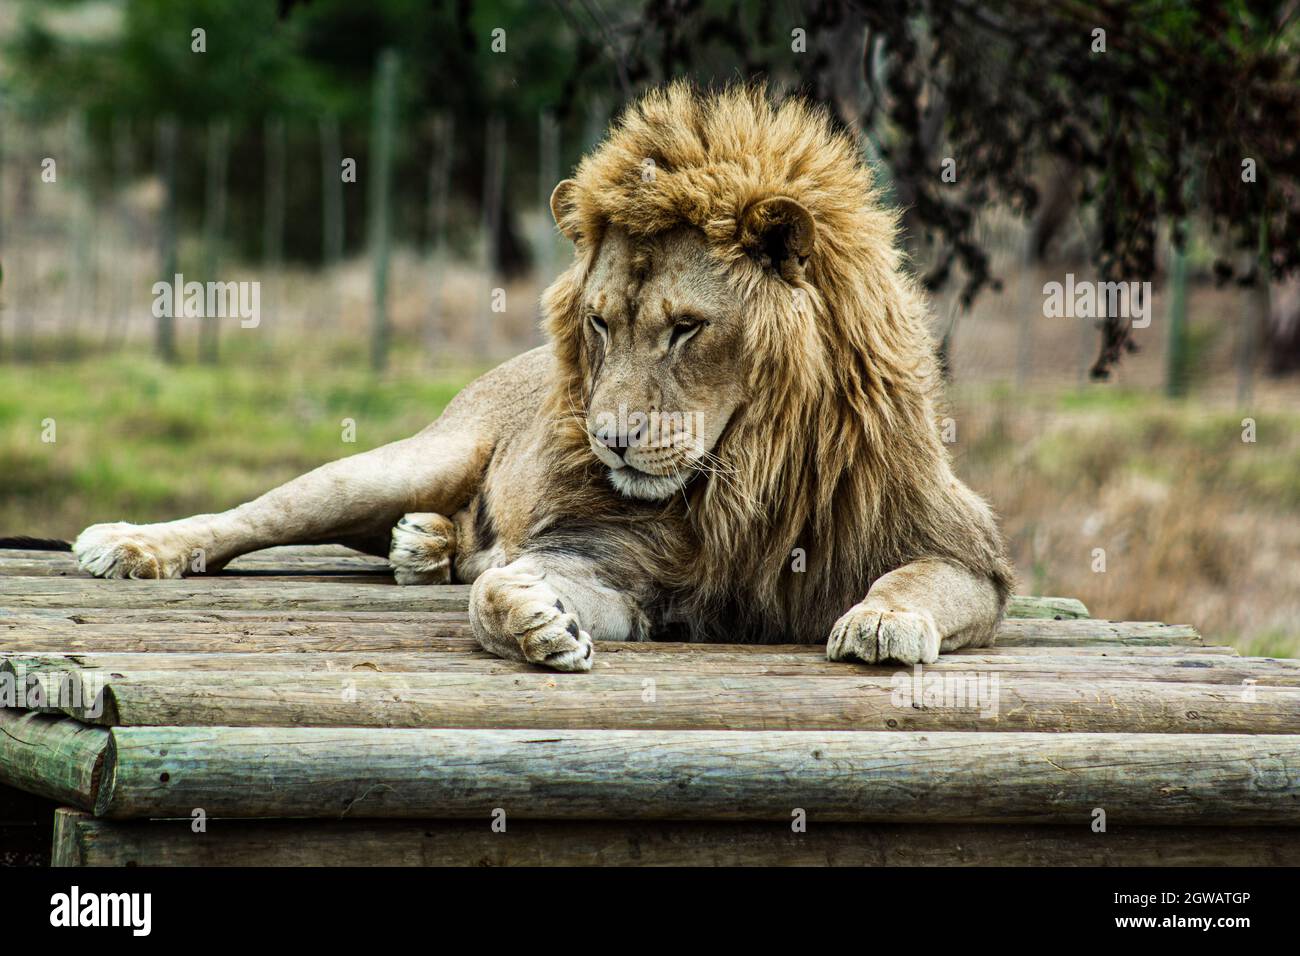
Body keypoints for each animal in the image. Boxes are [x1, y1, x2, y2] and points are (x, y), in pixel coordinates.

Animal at [76, 87, 1019, 671]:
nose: (610, 442)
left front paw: (882, 622)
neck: (749, 469)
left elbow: (913, 578)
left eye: (686, 328)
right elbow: (505, 587)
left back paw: (428, 546)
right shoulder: (613, 561)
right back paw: (130, 545)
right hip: (399, 464)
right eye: (601, 323)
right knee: (250, 517)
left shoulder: (968, 557)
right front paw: (534, 623)